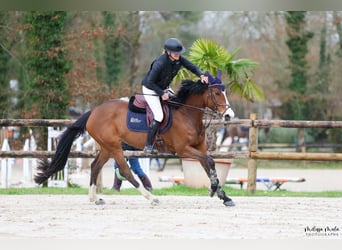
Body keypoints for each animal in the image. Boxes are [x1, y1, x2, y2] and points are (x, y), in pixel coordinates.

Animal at [35, 73, 238, 206]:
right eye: (217, 94)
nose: (229, 115)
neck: (187, 114)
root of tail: (93, 112)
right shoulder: (183, 150)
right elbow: (209, 161)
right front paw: (214, 190)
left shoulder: (199, 148)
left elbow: (209, 165)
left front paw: (223, 195)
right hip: (115, 147)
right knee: (125, 171)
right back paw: (151, 198)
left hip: (106, 147)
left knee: (95, 166)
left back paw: (95, 198)